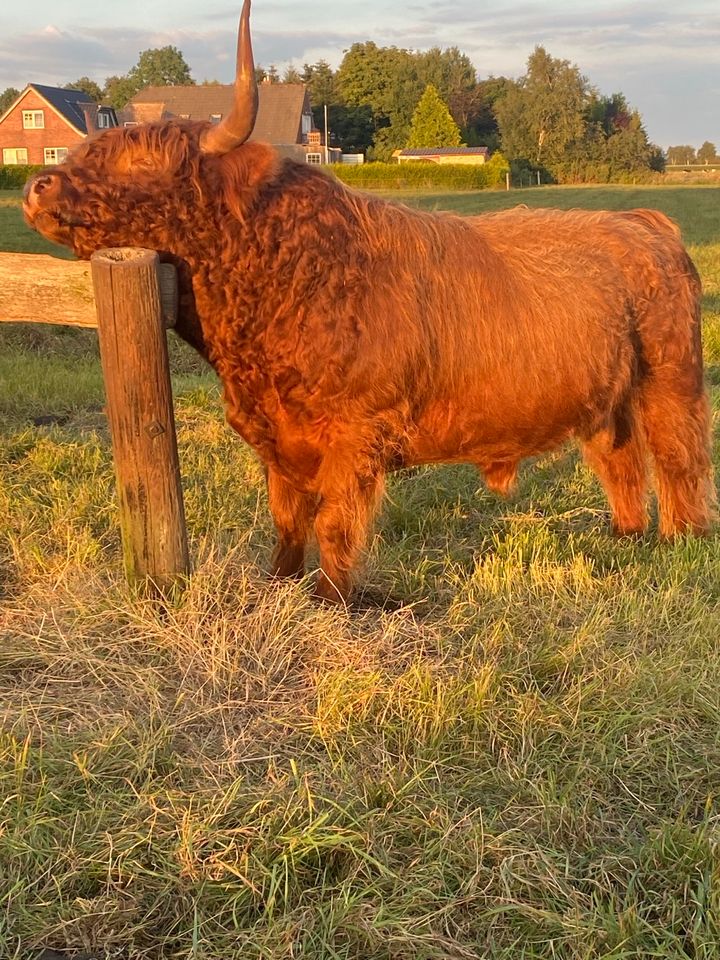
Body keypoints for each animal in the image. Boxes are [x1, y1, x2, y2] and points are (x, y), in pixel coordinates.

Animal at [22, 0, 716, 600]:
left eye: (142, 162)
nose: (36, 185)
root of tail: (641, 220)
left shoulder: (355, 436)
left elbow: (334, 528)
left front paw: (331, 604)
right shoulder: (278, 440)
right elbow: (287, 525)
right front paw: (280, 588)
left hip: (670, 380)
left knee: (679, 460)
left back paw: (677, 544)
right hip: (604, 397)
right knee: (620, 459)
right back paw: (624, 538)